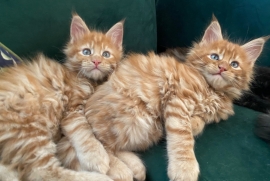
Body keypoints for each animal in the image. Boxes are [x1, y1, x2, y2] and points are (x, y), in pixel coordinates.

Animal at [0, 14, 123, 181]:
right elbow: (85, 133)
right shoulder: (72, 110)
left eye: (106, 54)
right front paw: (97, 157)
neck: (90, 81)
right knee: (43, 172)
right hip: (28, 132)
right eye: (86, 51)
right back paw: (98, 178)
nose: (96, 61)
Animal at [57, 17, 268, 181]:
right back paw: (121, 169)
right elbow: (182, 138)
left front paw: (194, 124)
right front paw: (184, 169)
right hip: (136, 120)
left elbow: (199, 122)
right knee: (102, 147)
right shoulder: (178, 100)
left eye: (234, 64)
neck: (212, 90)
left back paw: (135, 167)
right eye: (215, 57)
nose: (222, 68)